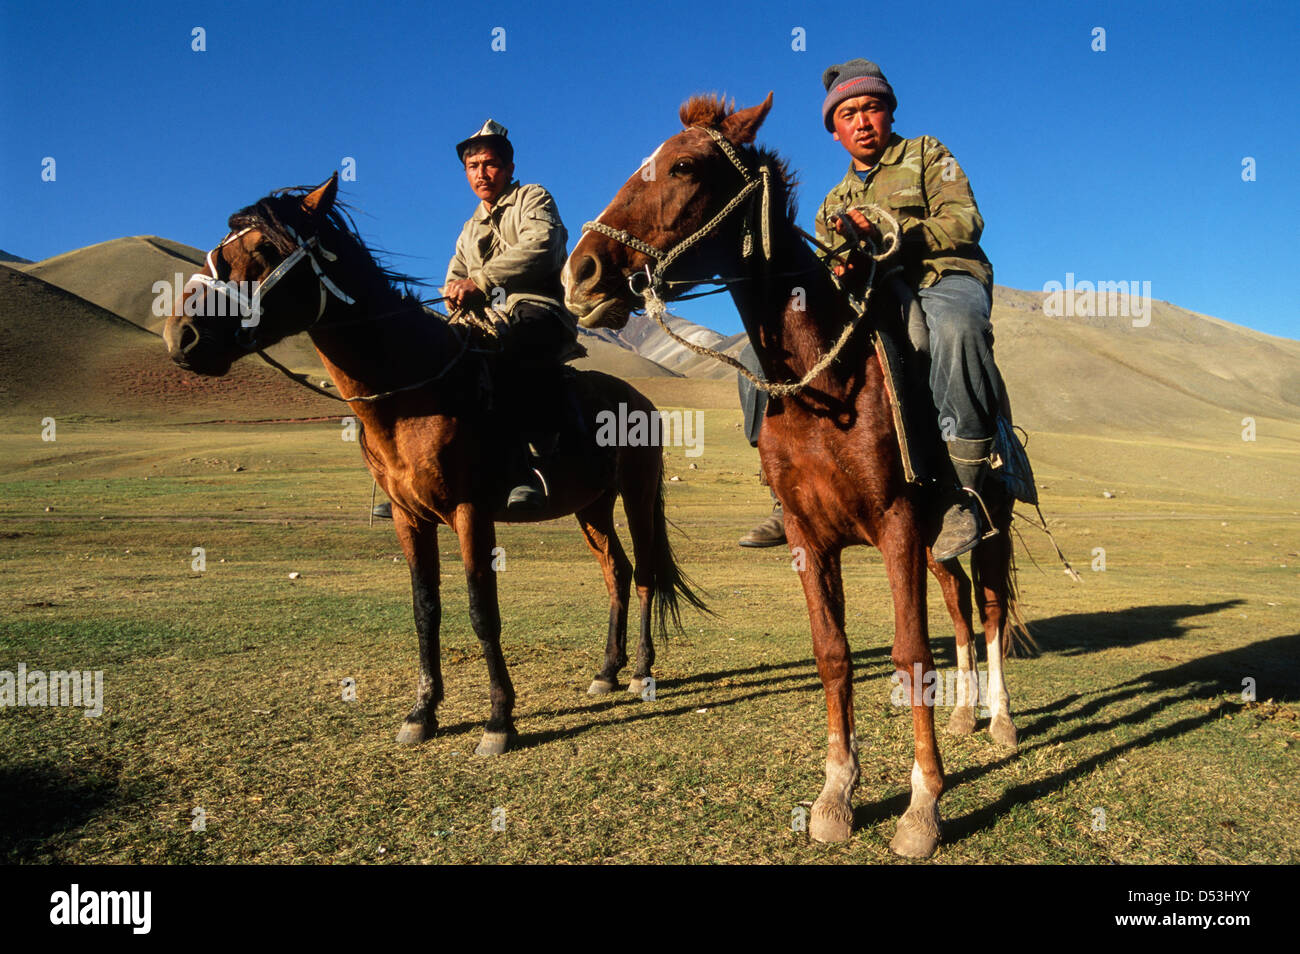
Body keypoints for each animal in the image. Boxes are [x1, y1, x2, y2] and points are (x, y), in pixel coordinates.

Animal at [166, 170, 712, 753]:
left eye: (264, 249)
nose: (182, 335)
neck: (411, 392)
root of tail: (642, 400)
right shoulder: (409, 518)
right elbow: (425, 610)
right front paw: (422, 713)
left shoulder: (471, 513)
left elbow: (481, 610)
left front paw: (498, 721)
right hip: (591, 504)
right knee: (616, 570)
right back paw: (607, 671)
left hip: (636, 492)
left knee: (645, 573)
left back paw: (642, 672)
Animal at [564, 97, 1019, 857]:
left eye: (685, 167)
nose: (582, 274)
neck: (824, 384)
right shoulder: (811, 535)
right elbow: (833, 654)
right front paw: (837, 794)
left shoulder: (896, 524)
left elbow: (907, 655)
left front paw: (922, 806)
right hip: (938, 545)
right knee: (958, 607)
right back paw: (962, 716)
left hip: (988, 529)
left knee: (987, 609)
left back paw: (1001, 721)